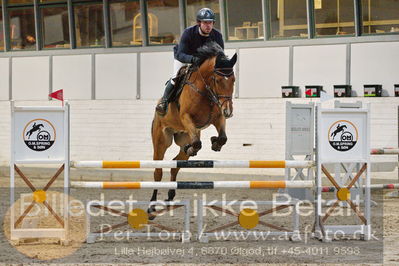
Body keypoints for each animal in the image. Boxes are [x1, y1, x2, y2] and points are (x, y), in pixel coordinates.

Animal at [149, 43, 238, 214]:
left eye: (233, 80)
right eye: (217, 80)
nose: (228, 111)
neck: (206, 91)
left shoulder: (218, 118)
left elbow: (223, 137)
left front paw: (215, 143)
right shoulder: (186, 118)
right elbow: (197, 142)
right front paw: (198, 146)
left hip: (184, 136)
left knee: (175, 165)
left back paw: (170, 195)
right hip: (161, 141)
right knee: (158, 171)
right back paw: (151, 206)